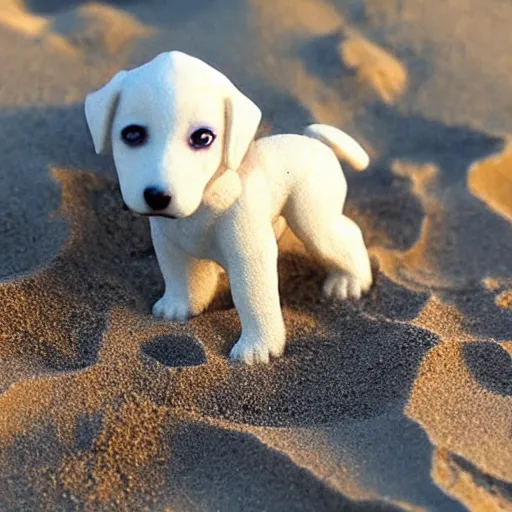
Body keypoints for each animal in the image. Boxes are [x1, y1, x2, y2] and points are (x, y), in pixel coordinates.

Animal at [84, 51, 372, 364]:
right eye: (132, 134)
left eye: (203, 138)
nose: (157, 197)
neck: (204, 202)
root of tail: (315, 142)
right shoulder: (168, 242)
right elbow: (178, 274)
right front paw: (178, 306)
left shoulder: (250, 253)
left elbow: (253, 298)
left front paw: (257, 347)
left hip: (312, 217)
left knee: (345, 233)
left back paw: (349, 281)